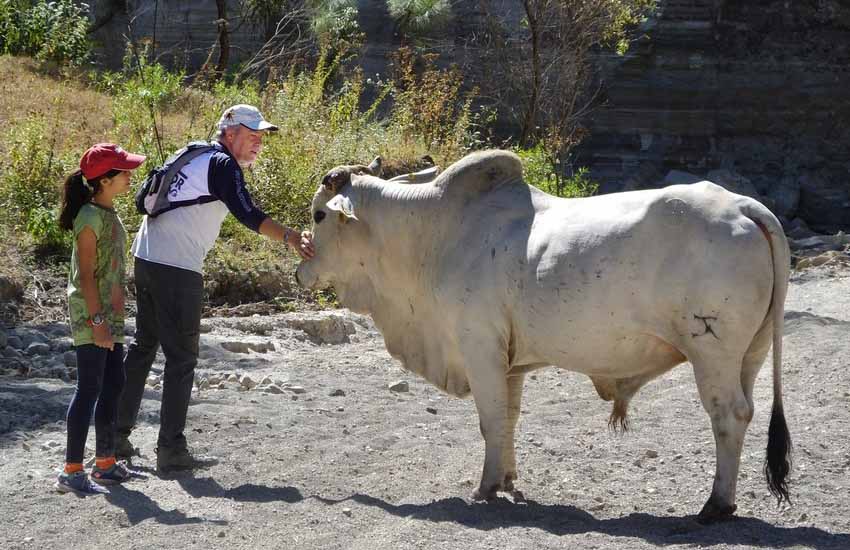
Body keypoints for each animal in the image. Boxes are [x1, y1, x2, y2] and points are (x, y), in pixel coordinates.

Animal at [294, 149, 792, 520]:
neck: (432, 236)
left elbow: (491, 420)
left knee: (728, 415)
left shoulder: (479, 348)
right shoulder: (511, 363)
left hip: (712, 352)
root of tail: (744, 205)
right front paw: (507, 479)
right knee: (746, 412)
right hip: (750, 354)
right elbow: (509, 419)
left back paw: (716, 505)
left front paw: (485, 488)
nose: (300, 268)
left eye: (319, 215)